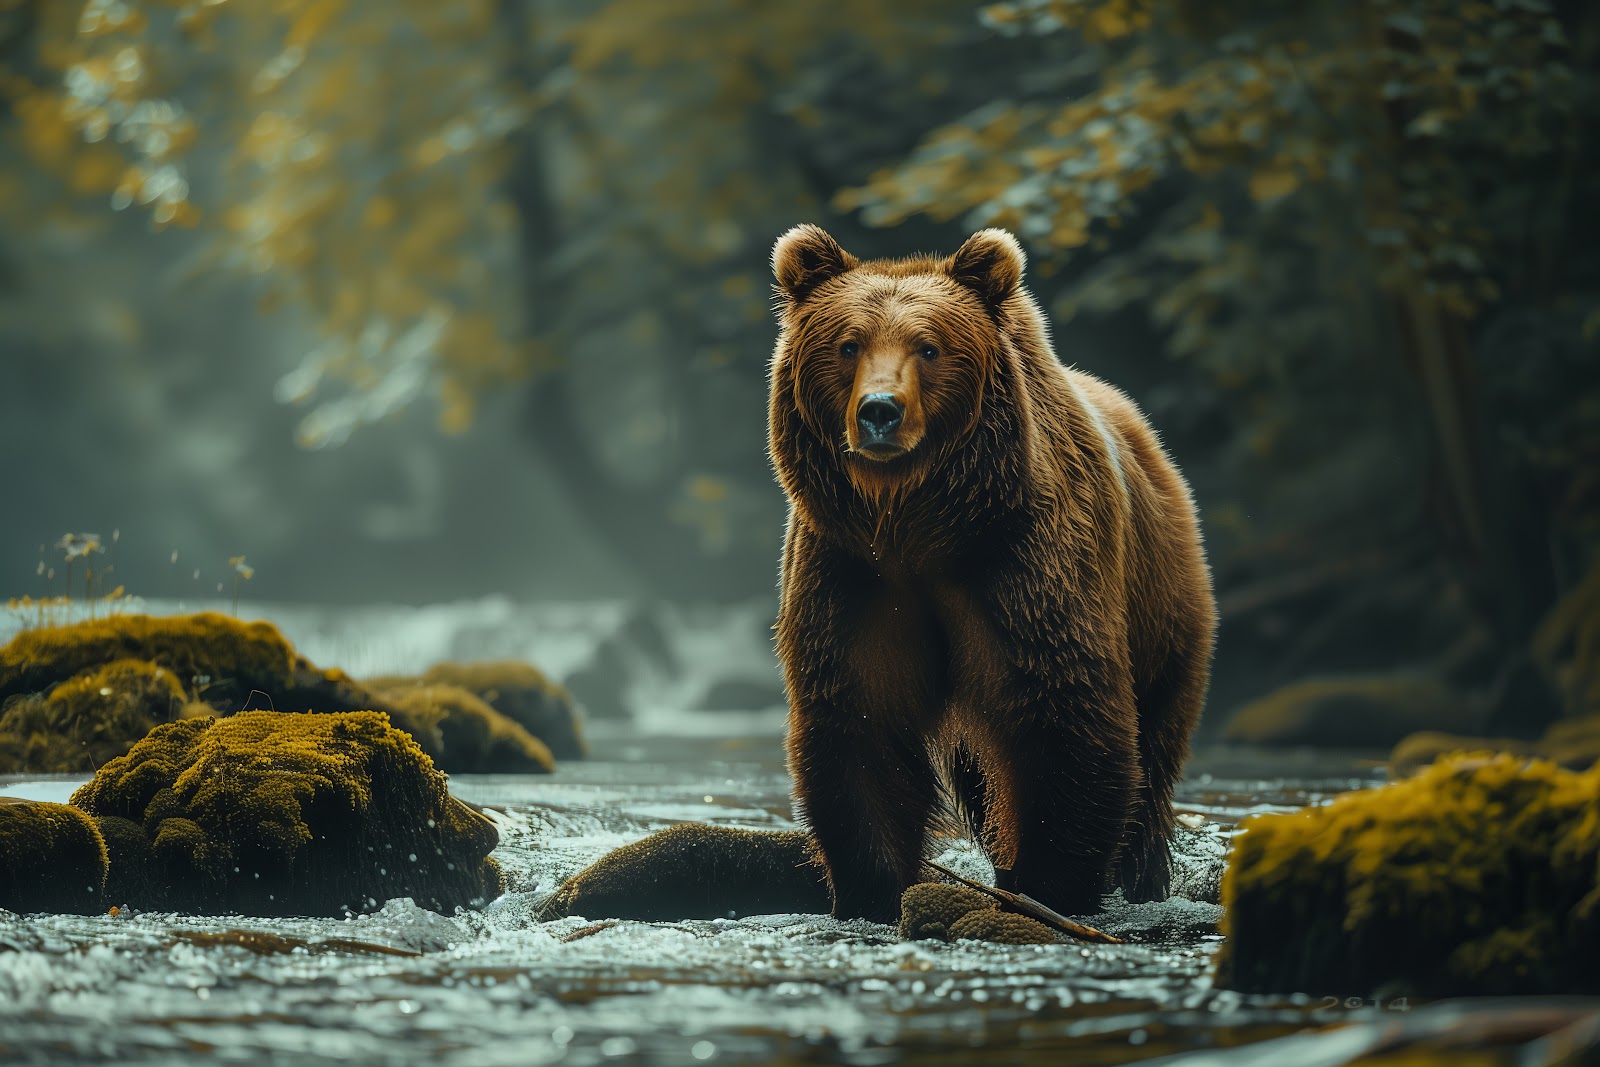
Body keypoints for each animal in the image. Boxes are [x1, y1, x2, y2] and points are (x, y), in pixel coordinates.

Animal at [767, 224, 1216, 922]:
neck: (918, 525)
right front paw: (871, 887)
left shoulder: (1021, 563)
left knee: (1156, 749)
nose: (879, 411)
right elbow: (859, 726)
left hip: (1165, 608)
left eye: (928, 346)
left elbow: (1064, 713)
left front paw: (1048, 885)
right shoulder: (852, 572)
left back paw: (1143, 875)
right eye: (847, 344)